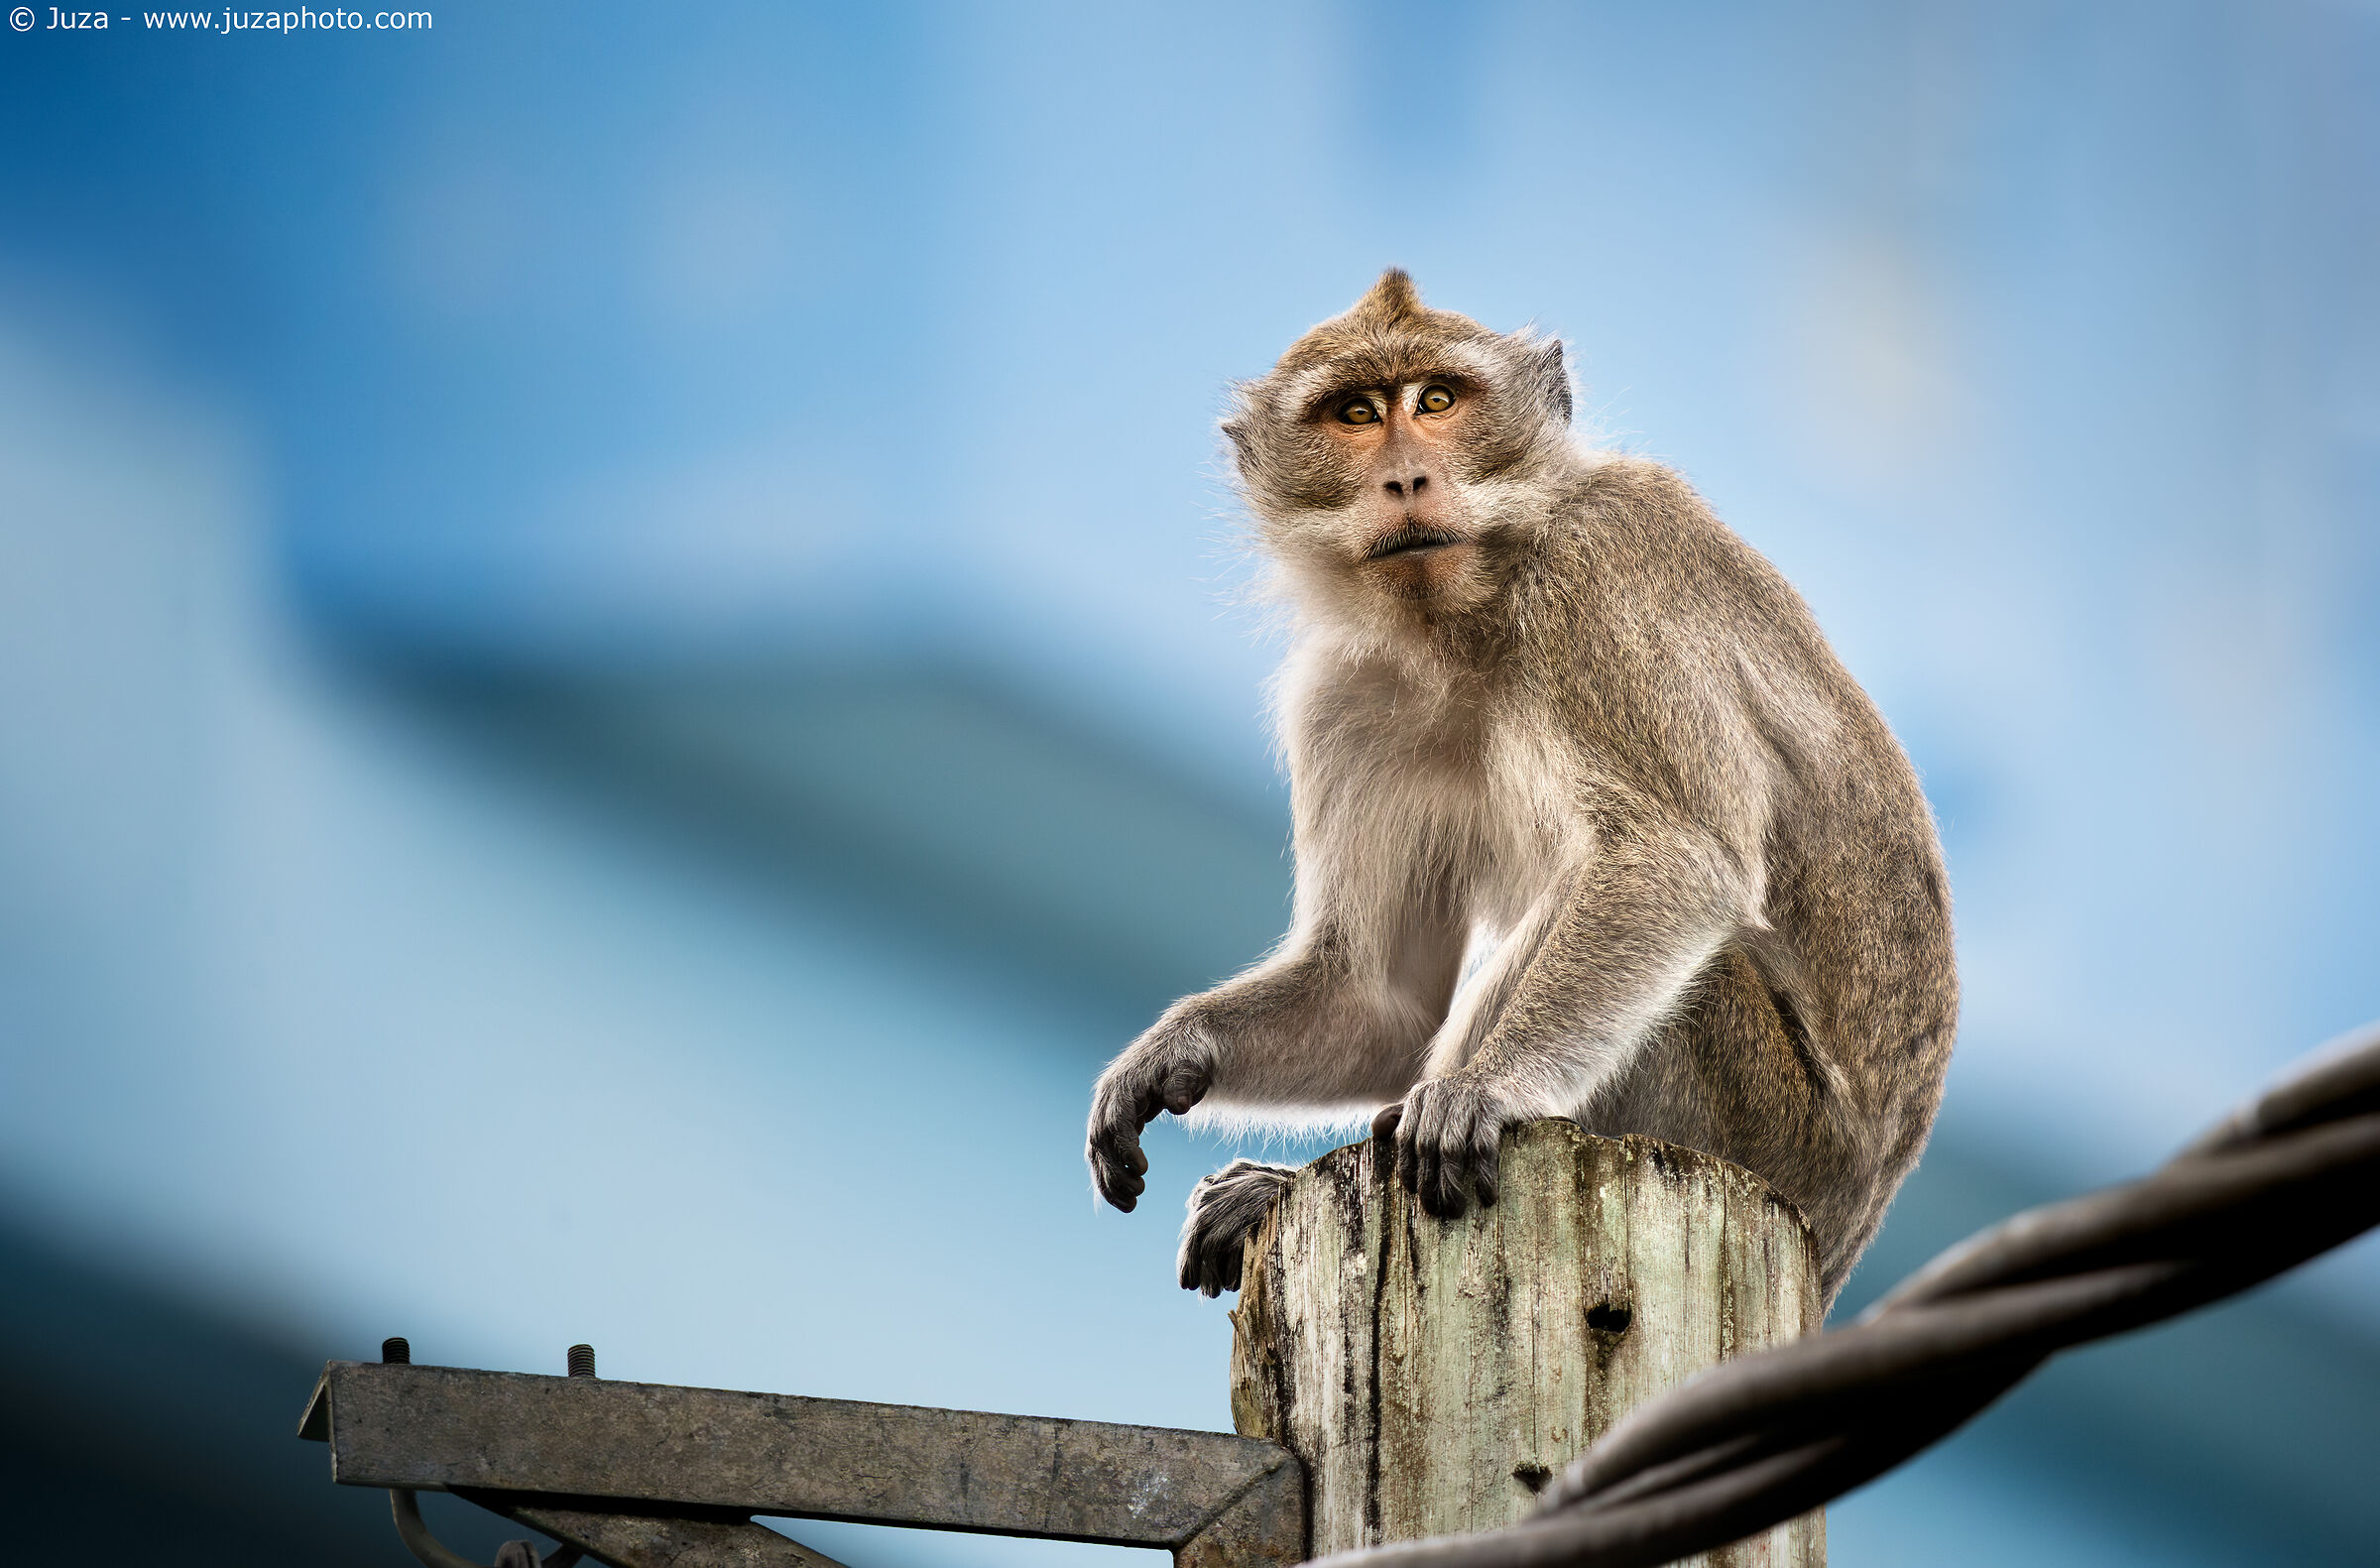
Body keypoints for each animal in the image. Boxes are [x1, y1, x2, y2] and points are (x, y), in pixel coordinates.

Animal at [1085, 270, 1956, 1307]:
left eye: (1436, 401)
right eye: (1355, 413)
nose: (1406, 479)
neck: (1468, 620)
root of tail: (1842, 1233)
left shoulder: (1598, 567)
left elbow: (1677, 857)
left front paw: (1487, 1088)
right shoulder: (1344, 696)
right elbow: (1379, 999)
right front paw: (1173, 1052)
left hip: (1770, 1125)